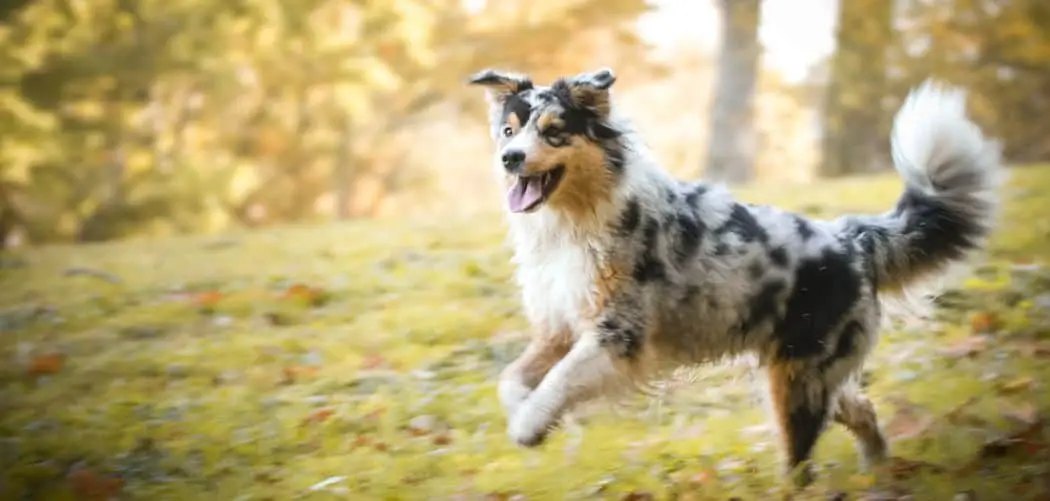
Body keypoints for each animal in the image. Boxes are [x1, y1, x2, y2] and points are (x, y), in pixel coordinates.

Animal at [466, 68, 999, 483]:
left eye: (554, 130)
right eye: (509, 131)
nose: (510, 159)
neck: (574, 221)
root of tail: (853, 239)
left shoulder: (618, 334)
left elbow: (558, 380)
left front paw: (529, 425)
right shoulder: (560, 325)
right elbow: (511, 379)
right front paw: (526, 412)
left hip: (798, 380)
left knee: (800, 462)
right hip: (812, 371)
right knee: (860, 408)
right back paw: (877, 470)